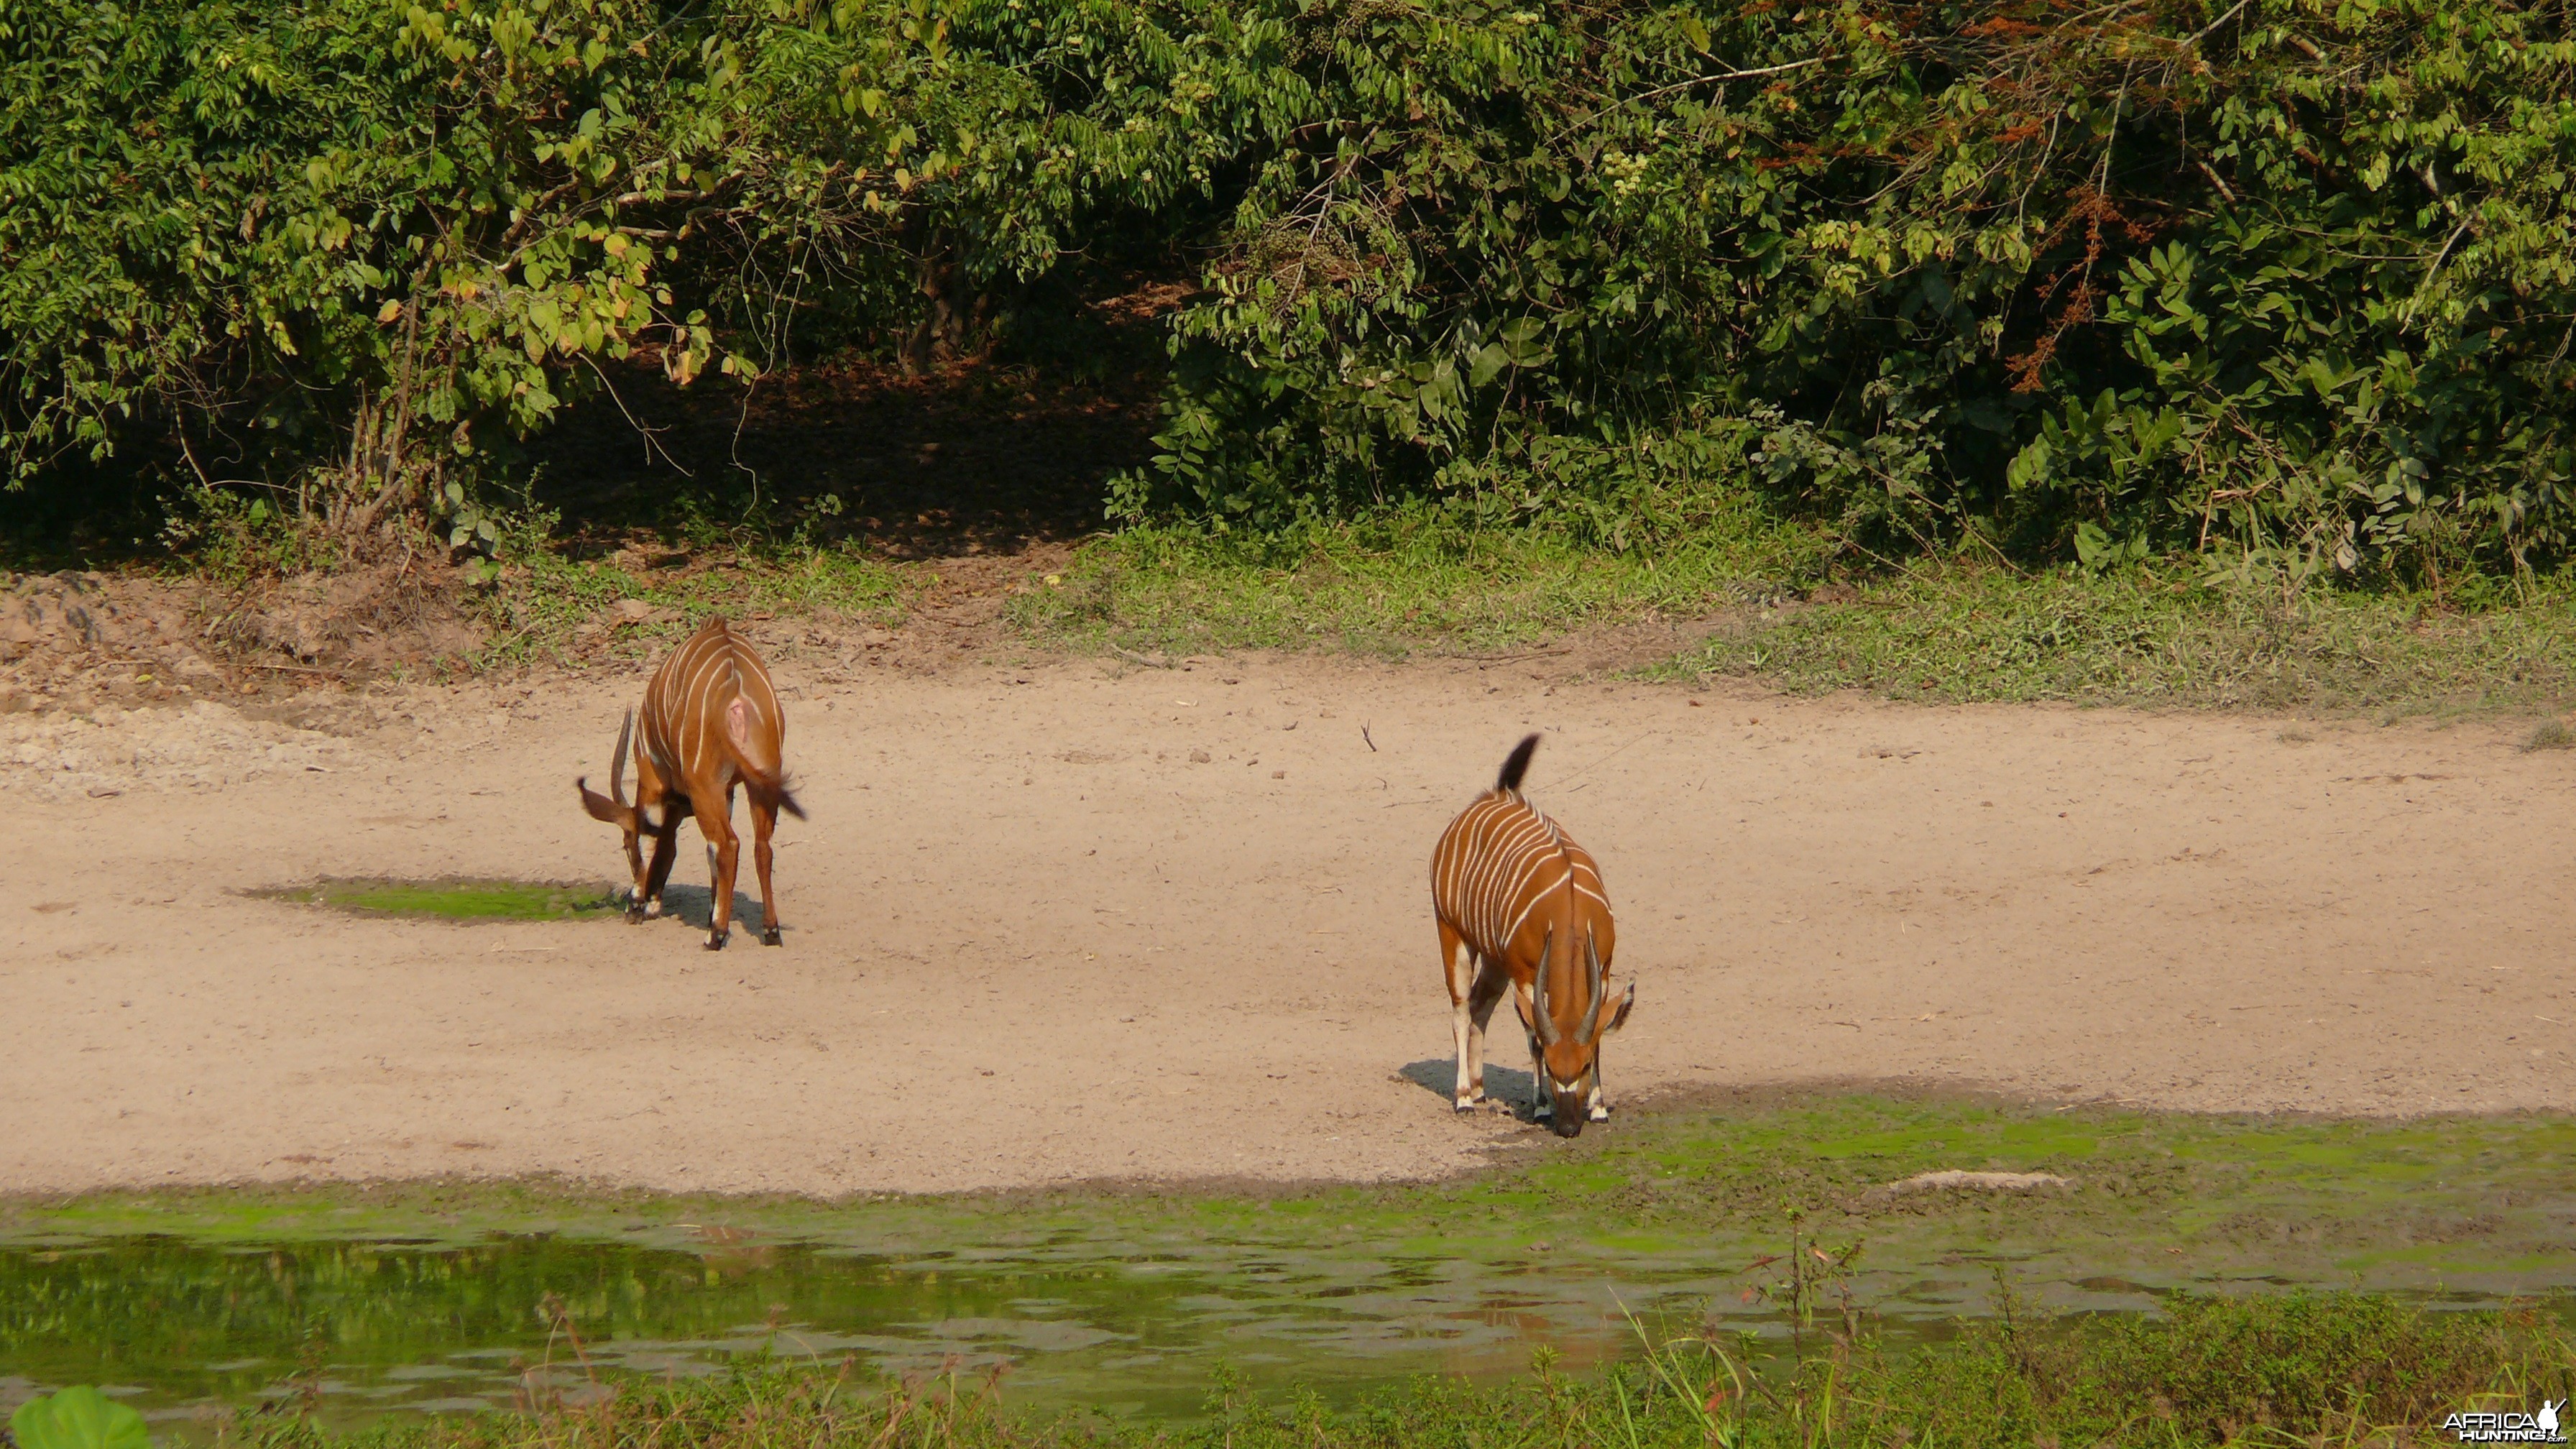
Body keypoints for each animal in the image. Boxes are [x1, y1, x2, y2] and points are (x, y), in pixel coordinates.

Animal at [581, 611, 804, 943]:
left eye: (625, 845)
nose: (637, 906)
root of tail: (735, 692)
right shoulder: (727, 792)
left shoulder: (653, 776)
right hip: (758, 784)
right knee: (761, 846)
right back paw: (770, 930)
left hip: (704, 787)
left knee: (728, 845)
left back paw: (716, 936)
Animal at [1432, 732, 1628, 1129]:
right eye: (1551, 1070)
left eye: (1584, 1065)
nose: (1568, 1125)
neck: (1569, 910)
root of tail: (1493, 797)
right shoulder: (1525, 973)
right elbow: (1533, 1036)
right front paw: (1540, 1106)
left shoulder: (1603, 969)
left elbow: (1599, 1033)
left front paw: (1599, 1107)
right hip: (1452, 933)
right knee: (1460, 1010)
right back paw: (1464, 1097)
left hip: (1494, 961)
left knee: (1479, 1006)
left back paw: (1479, 1089)